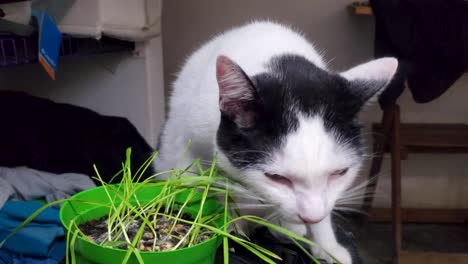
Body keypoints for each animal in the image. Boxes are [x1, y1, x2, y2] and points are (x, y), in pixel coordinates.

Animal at [155, 21, 396, 264]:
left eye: (339, 173)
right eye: (276, 178)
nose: (311, 216)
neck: (278, 60)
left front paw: (327, 246)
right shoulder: (189, 148)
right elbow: (203, 190)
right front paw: (229, 232)